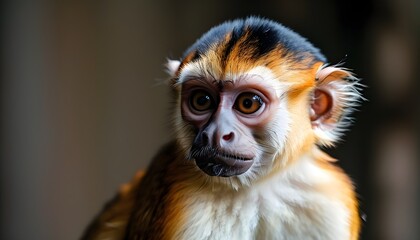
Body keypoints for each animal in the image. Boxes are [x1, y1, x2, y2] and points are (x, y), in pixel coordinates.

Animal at [81, 16, 360, 240]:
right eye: (202, 100)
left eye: (248, 103)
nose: (216, 133)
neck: (254, 190)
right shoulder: (177, 197)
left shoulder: (328, 202)